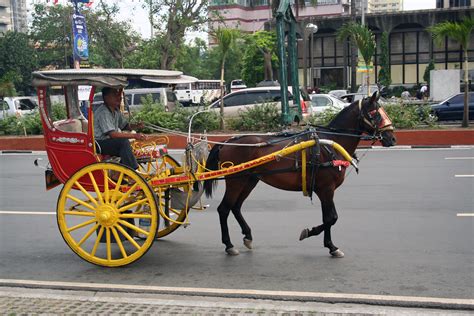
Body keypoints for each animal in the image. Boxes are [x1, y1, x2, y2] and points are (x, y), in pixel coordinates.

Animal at [203, 90, 396, 256]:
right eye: (375, 113)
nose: (391, 138)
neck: (331, 143)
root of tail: (227, 142)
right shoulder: (326, 189)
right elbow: (331, 218)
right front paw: (320, 238)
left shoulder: (326, 190)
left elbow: (329, 217)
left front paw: (328, 244)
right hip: (236, 181)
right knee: (224, 209)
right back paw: (229, 245)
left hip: (249, 180)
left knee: (235, 207)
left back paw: (248, 236)